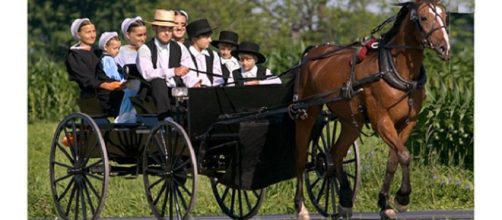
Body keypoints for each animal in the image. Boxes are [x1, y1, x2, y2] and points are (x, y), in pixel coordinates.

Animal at [292, 0, 450, 219]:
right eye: (424, 17)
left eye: (445, 16)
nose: (445, 47)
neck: (394, 69)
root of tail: (310, 53)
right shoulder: (381, 121)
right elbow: (404, 155)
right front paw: (402, 198)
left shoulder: (408, 122)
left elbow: (394, 158)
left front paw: (386, 203)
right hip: (307, 113)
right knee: (300, 159)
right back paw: (301, 208)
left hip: (351, 122)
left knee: (336, 153)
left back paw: (345, 200)